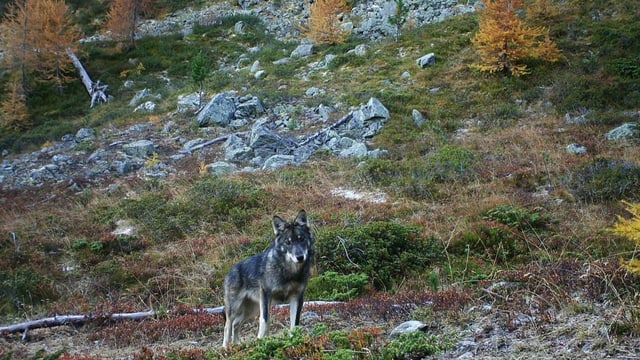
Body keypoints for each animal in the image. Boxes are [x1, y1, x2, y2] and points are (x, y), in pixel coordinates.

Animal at [224, 210, 314, 348]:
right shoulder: (266, 296)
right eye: (288, 242)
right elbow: (265, 321)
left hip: (251, 310)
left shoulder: (297, 297)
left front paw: (294, 340)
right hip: (235, 308)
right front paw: (261, 341)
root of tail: (231, 270)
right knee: (228, 326)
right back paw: (225, 348)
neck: (290, 272)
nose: (300, 257)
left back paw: (237, 345)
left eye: (302, 239)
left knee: (236, 324)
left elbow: (295, 323)